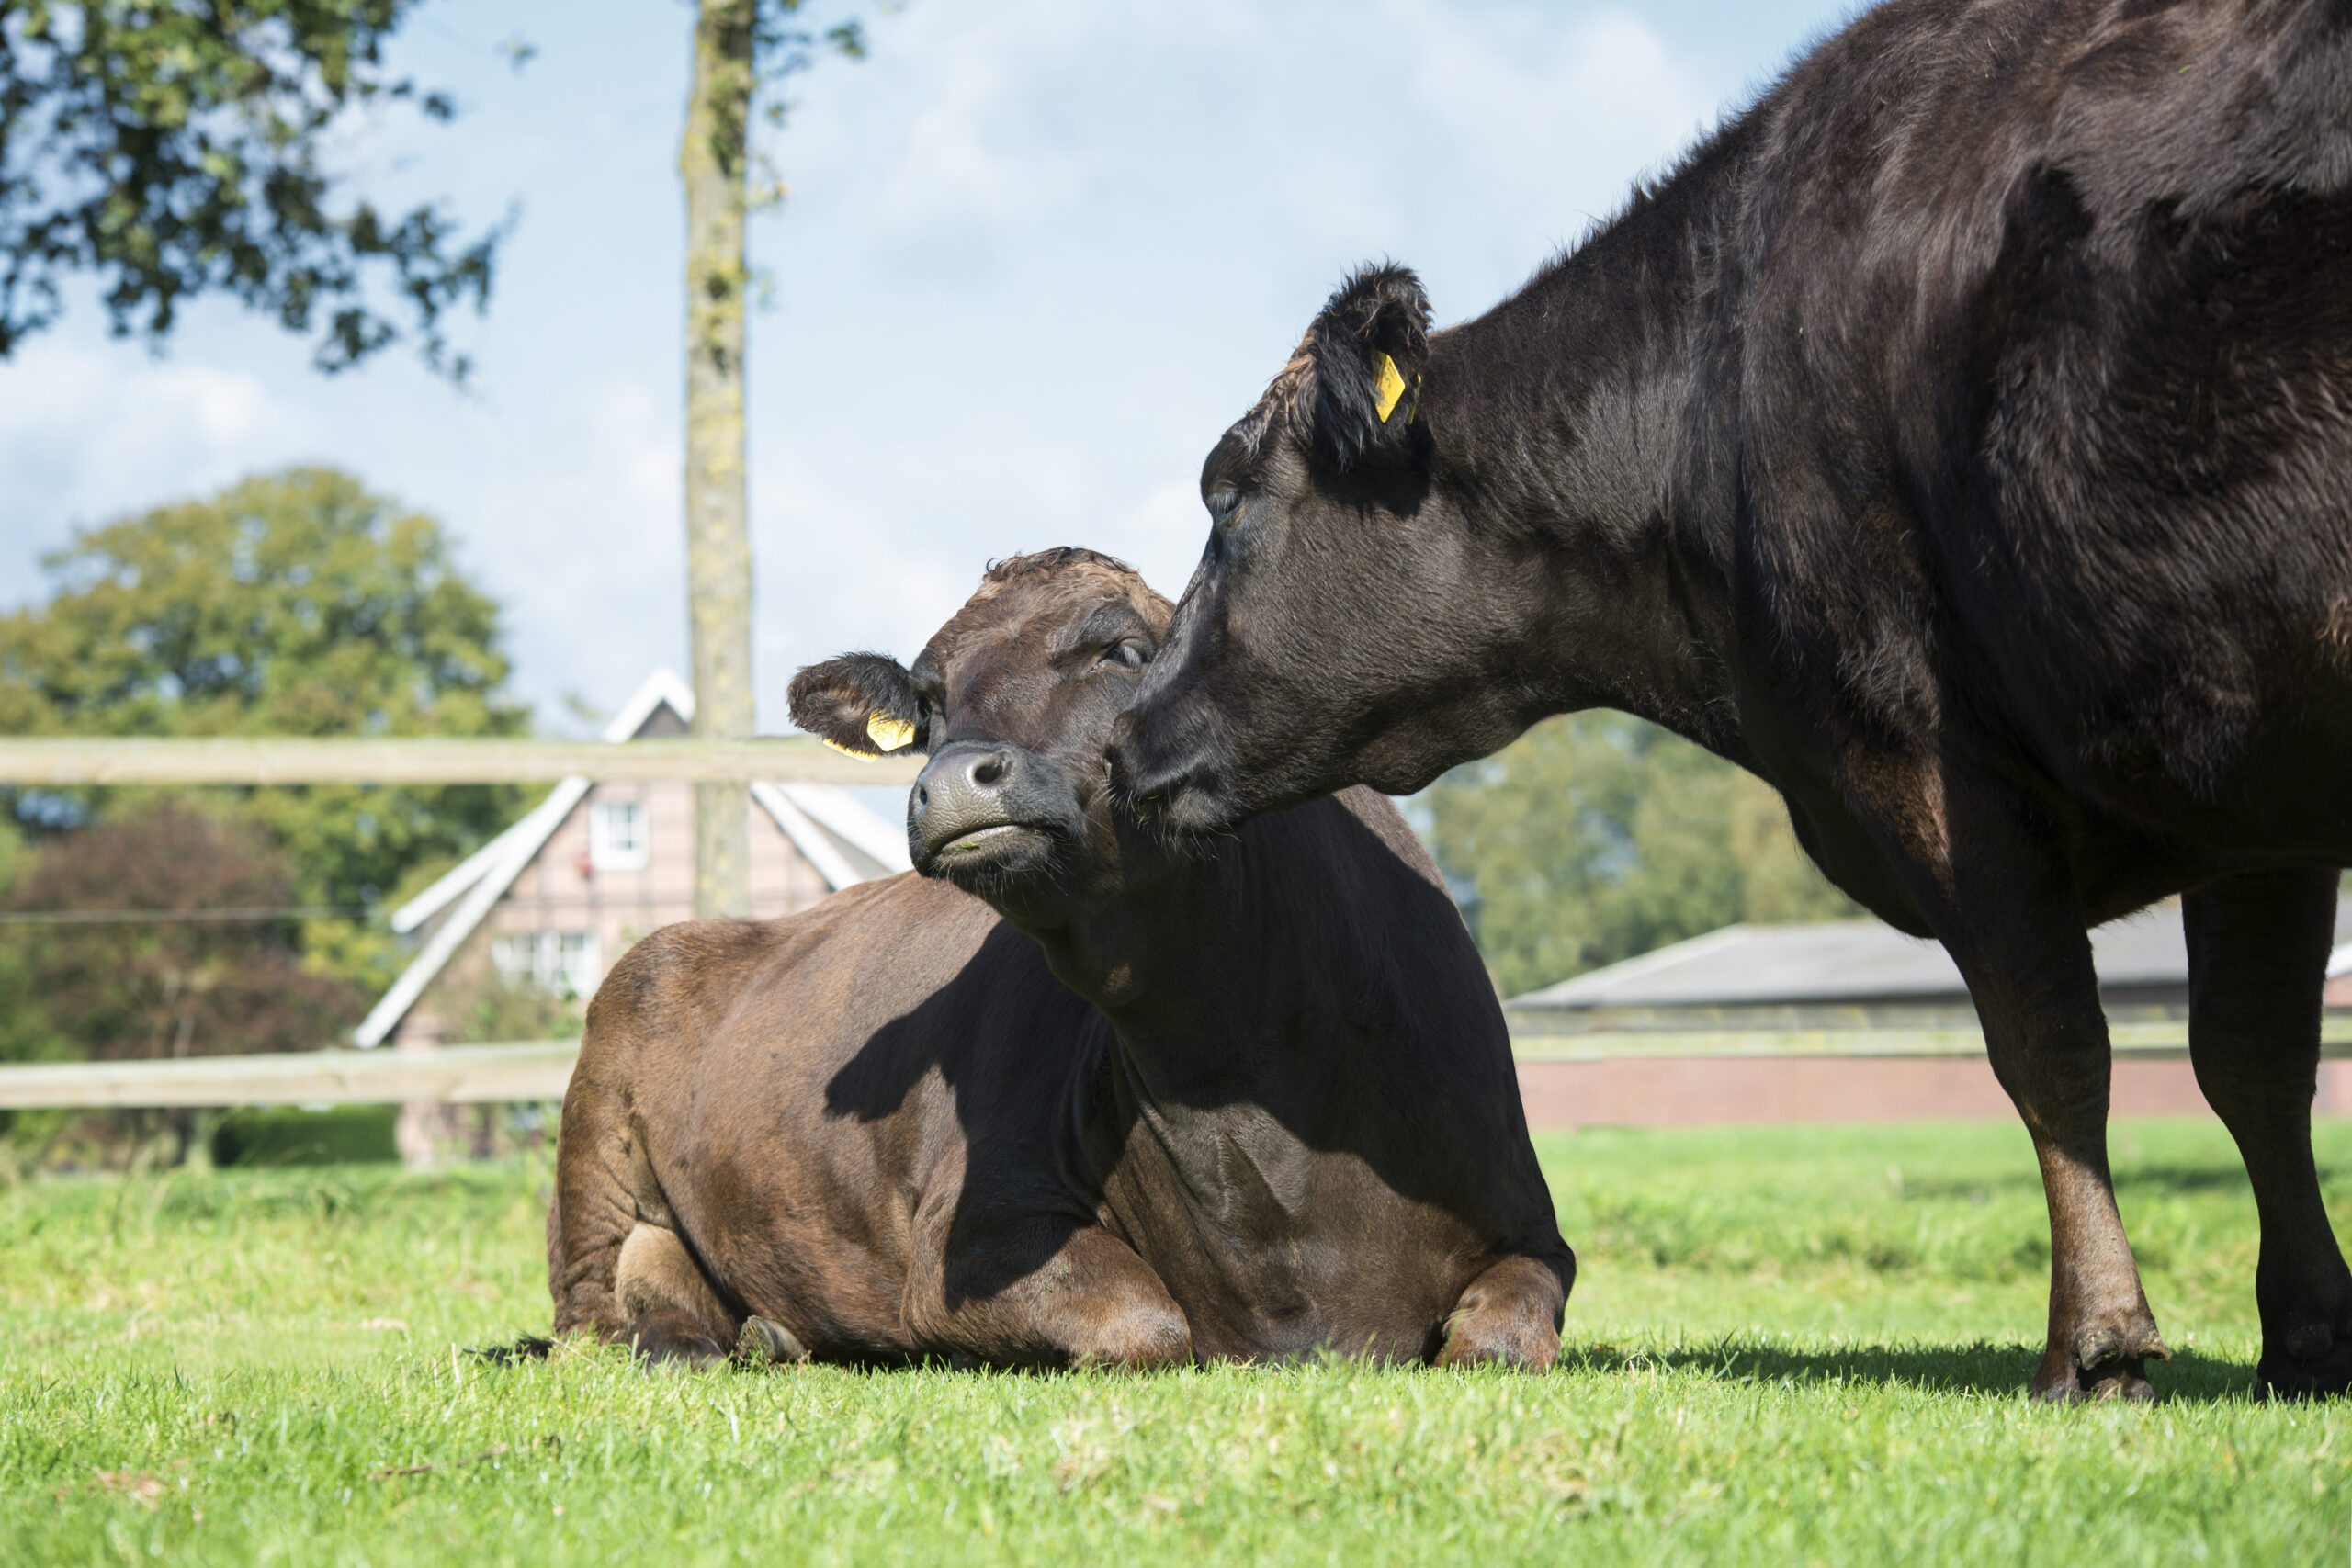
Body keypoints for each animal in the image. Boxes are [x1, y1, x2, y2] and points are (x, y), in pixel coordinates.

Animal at [545, 548, 1572, 1370]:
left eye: (1123, 651)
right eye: (929, 702)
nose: (949, 782)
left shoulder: (1533, 1226)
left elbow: (1500, 1336)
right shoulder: (973, 1230)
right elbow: (1146, 1324)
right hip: (599, 1129)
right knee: (596, 1308)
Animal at [1109, 0, 2352, 1402]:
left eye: (1226, 496)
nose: (1126, 732)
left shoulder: (1921, 747)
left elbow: (2055, 1050)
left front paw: (2097, 1342)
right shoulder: (2246, 787)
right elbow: (2253, 1059)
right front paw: (2309, 1332)